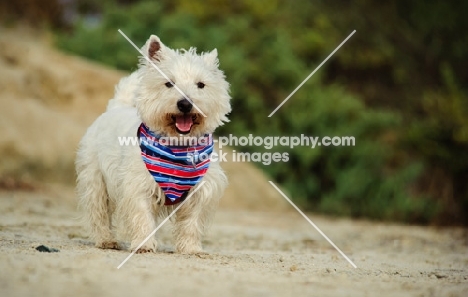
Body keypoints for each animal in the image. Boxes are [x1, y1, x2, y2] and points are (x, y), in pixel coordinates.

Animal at [76, 34, 231, 252]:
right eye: (169, 84)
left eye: (201, 85)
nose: (185, 104)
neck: (177, 146)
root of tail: (116, 107)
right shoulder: (137, 185)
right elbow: (142, 216)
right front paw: (144, 245)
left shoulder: (201, 190)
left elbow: (192, 222)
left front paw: (191, 248)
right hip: (95, 179)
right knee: (98, 211)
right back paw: (106, 240)